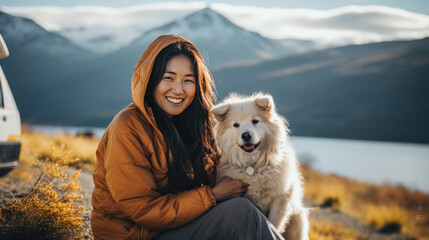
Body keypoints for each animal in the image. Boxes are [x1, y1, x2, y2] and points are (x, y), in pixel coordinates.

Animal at [210, 93, 308, 239]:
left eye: (255, 121)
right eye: (236, 125)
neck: (252, 165)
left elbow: (274, 225)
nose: (246, 135)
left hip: (298, 221)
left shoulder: (279, 202)